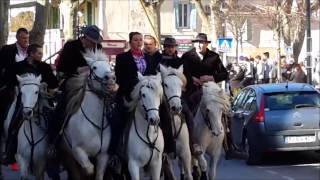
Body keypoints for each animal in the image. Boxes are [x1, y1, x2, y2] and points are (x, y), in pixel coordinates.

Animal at [60, 49, 116, 180]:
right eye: (94, 67)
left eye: (110, 66)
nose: (111, 78)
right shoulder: (77, 151)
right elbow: (89, 170)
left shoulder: (103, 156)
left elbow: (98, 173)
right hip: (67, 154)